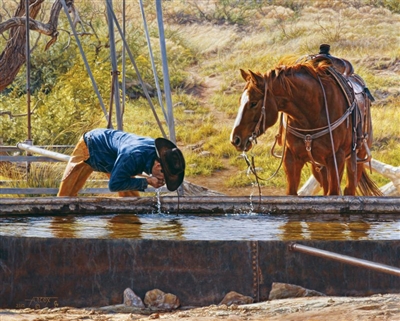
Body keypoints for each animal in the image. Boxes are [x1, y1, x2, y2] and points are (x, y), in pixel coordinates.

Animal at [230, 57, 380, 195]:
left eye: (253, 103)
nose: (235, 139)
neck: (312, 114)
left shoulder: (336, 159)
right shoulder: (291, 159)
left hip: (357, 157)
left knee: (350, 189)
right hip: (319, 166)